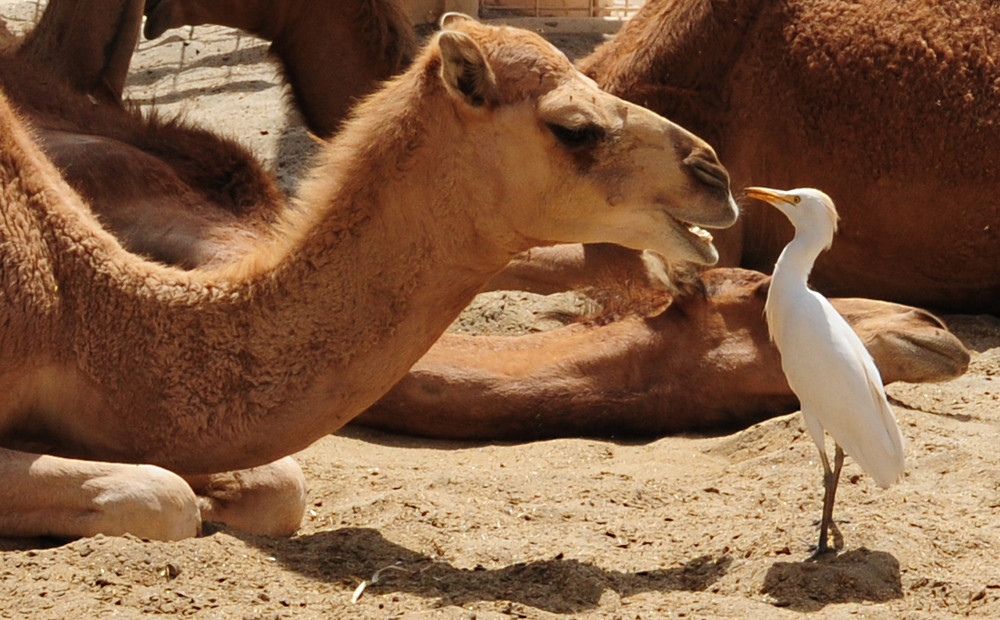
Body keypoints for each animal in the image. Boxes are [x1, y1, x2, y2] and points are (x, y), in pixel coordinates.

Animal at [0, 1, 736, 544]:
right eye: (575, 128)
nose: (715, 175)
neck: (74, 314)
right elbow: (157, 494)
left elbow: (277, 487)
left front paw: (221, 504)